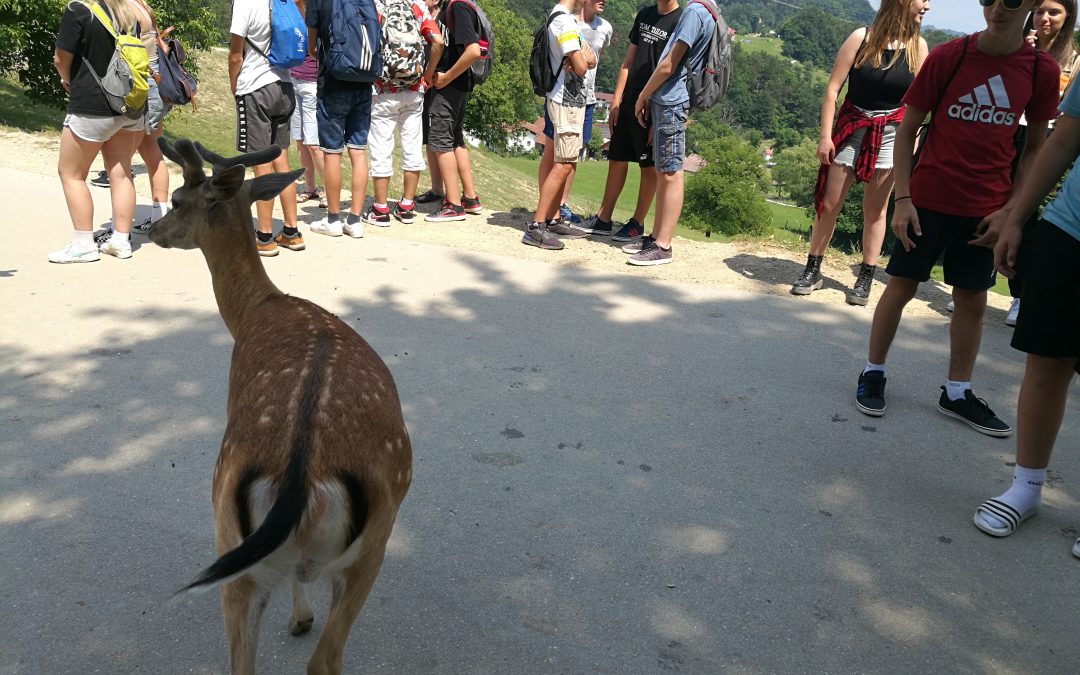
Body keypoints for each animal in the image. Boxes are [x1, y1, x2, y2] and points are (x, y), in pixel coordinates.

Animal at [147, 138, 408, 673]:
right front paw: (302, 618)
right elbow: (299, 572)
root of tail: (301, 480)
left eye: (178, 200)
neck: (257, 310)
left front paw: (300, 617)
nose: (151, 229)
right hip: (371, 542)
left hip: (233, 535)